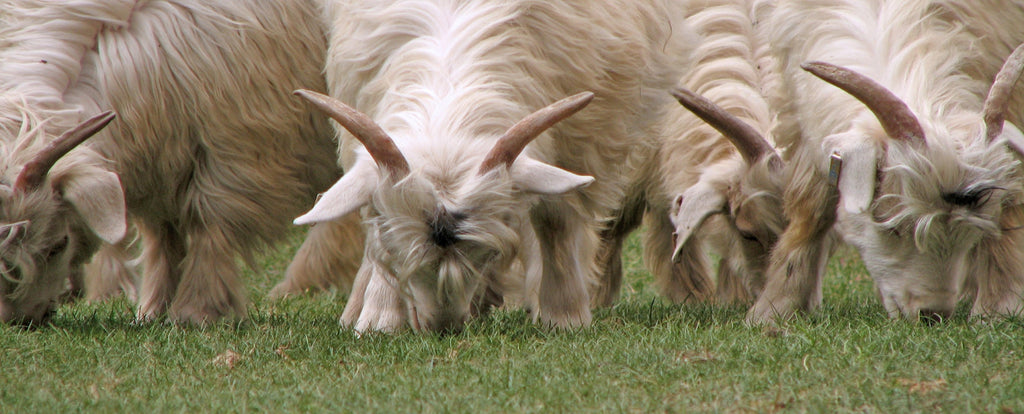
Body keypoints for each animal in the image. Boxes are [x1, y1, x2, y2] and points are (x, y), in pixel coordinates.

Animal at [0, 0, 350, 323]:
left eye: (58, 245)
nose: (23, 319)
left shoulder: (234, 151)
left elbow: (209, 223)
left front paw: (198, 311)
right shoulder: (163, 164)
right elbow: (164, 239)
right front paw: (154, 309)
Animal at [299, 0, 696, 332]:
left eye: (487, 253)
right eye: (397, 249)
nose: (443, 327)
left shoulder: (585, 134)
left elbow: (556, 218)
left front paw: (564, 315)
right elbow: (372, 224)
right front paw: (379, 316)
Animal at [749, 0, 1024, 323]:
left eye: (973, 230)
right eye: (890, 227)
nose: (931, 314)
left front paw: (998, 306)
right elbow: (811, 206)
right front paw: (775, 307)